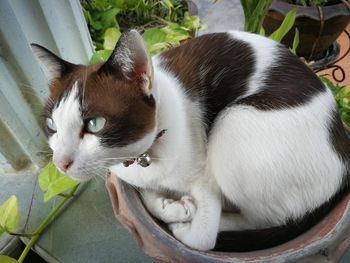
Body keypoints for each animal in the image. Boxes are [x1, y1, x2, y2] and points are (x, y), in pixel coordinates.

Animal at [31, 29, 348, 252]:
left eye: (94, 124)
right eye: (51, 125)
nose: (60, 163)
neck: (145, 157)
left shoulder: (206, 179)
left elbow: (203, 238)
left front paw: (183, 218)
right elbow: (145, 195)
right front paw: (168, 205)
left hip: (234, 124)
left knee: (262, 220)